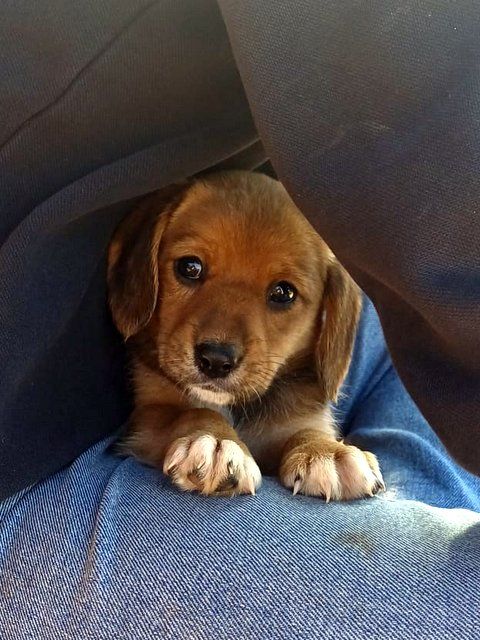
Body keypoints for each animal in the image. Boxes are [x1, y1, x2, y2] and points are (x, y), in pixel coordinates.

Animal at [107, 170, 384, 500]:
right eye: (189, 267)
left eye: (283, 293)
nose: (215, 360)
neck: (231, 407)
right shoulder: (148, 415)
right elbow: (192, 413)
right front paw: (215, 441)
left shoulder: (298, 418)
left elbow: (306, 429)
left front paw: (326, 451)